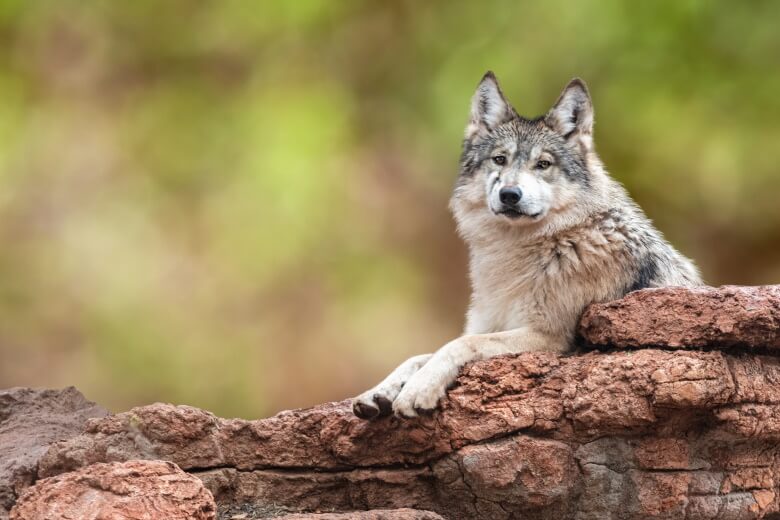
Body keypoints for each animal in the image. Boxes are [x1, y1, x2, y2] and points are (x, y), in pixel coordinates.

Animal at [354, 73, 700, 420]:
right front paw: (376, 392)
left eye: (543, 164)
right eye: (499, 159)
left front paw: (418, 390)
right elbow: (419, 355)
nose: (509, 194)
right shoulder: (490, 323)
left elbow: (458, 345)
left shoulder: (548, 337)